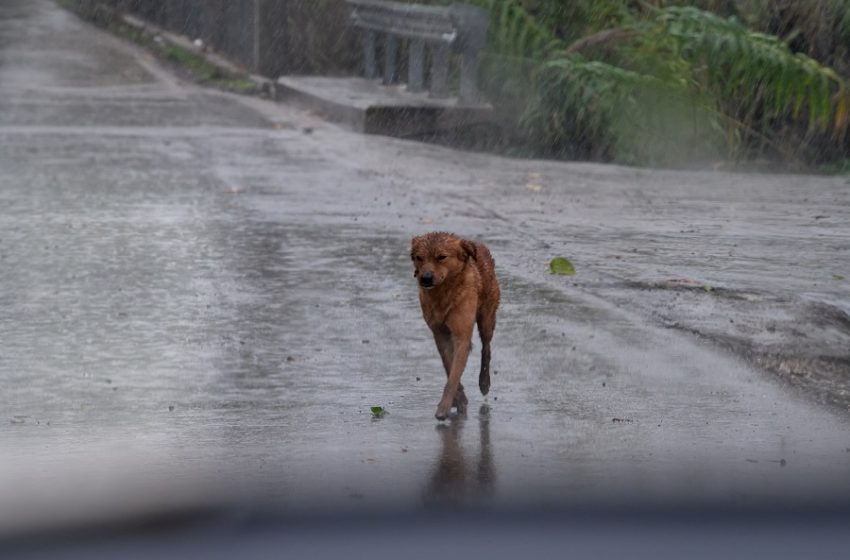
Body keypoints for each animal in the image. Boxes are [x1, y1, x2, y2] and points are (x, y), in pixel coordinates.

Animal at [410, 232, 496, 420]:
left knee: (486, 347)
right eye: (419, 257)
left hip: (487, 315)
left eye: (442, 257)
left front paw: (444, 408)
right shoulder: (439, 333)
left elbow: (454, 375)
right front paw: (460, 399)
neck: (443, 293)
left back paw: (484, 382)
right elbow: (449, 366)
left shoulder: (462, 335)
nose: (425, 278)